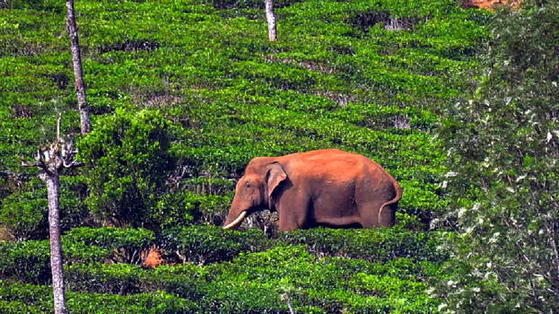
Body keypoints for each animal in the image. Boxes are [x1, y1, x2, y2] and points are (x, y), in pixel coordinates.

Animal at [223, 148, 402, 232]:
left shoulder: (292, 192)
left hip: (373, 197)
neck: (276, 159)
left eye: (248, 185)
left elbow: (290, 226)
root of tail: (393, 181)